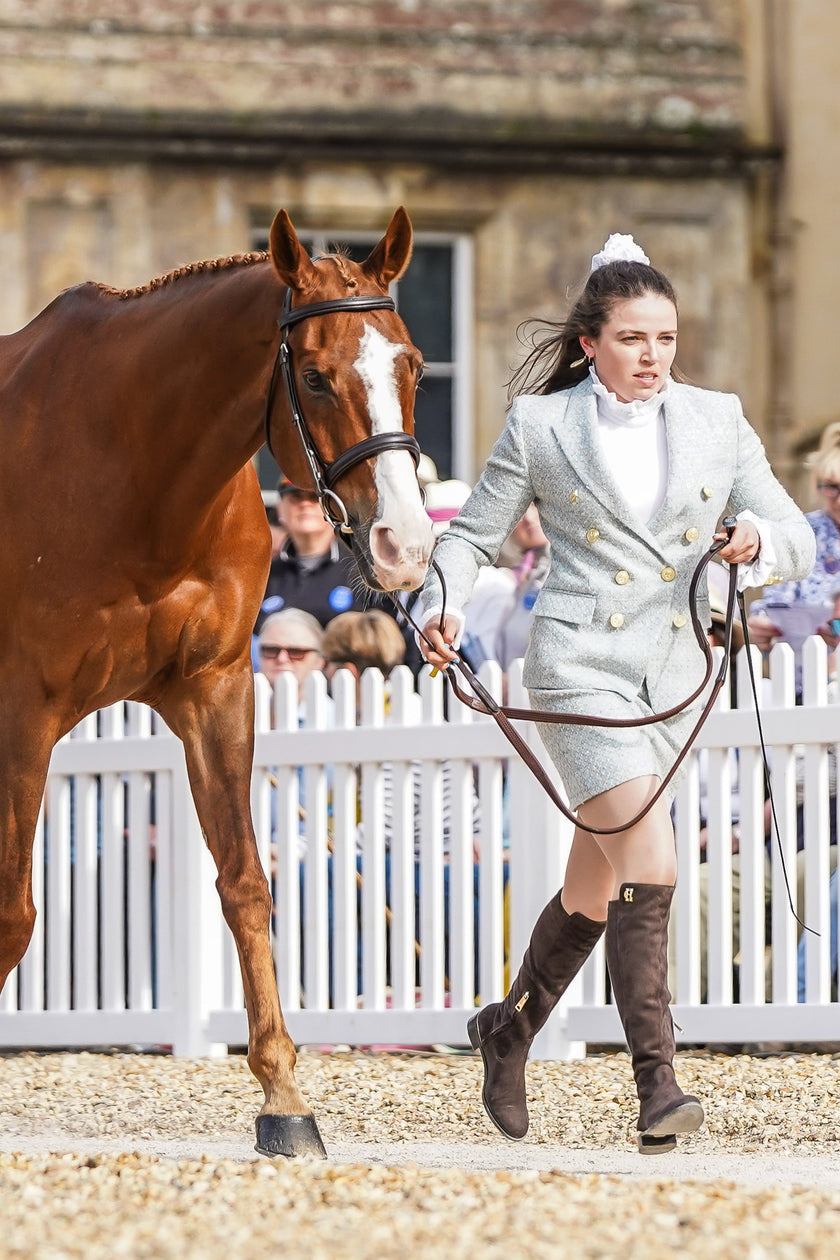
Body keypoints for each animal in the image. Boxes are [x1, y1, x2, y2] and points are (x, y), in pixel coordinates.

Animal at [0, 204, 433, 1154]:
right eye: (313, 377)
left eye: (414, 364)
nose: (404, 544)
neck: (132, 467)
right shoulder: (23, 716)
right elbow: (13, 911)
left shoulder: (217, 694)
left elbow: (245, 886)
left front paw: (284, 1098)